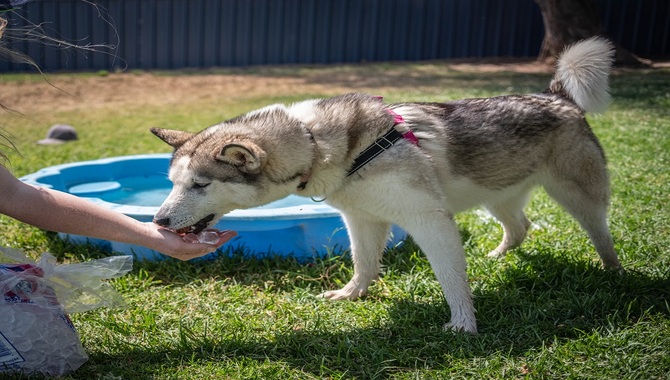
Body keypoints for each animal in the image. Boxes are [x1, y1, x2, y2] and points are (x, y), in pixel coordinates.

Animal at [151, 36, 620, 332]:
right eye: (173, 182)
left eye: (200, 185)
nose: (158, 221)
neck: (319, 143)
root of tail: (555, 95)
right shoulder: (362, 219)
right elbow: (363, 263)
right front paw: (352, 294)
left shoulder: (429, 220)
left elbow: (451, 277)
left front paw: (463, 322)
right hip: (495, 193)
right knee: (520, 226)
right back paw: (498, 256)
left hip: (578, 196)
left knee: (600, 234)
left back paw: (614, 275)